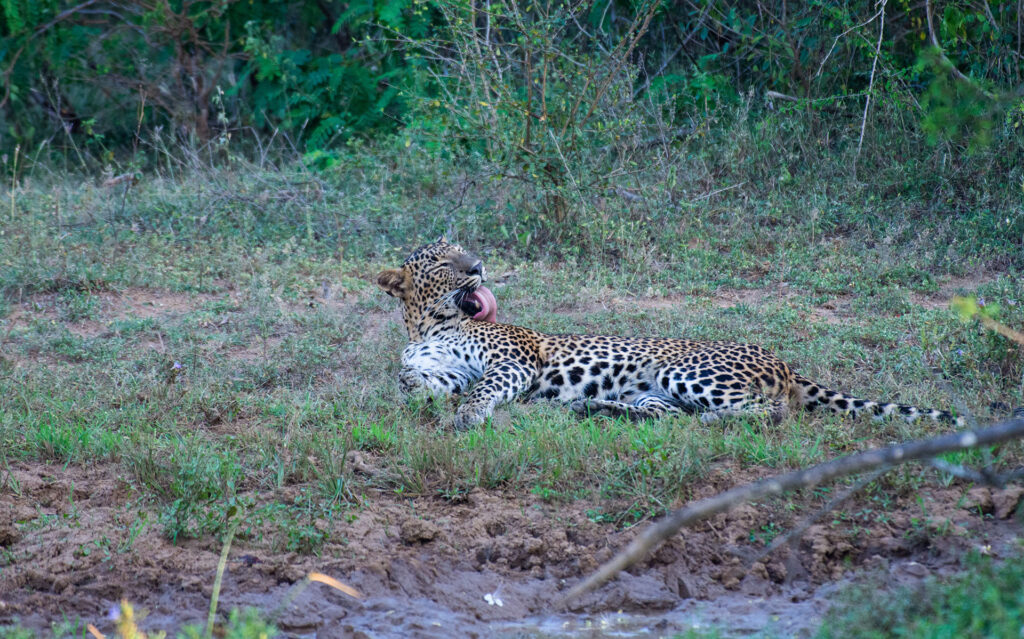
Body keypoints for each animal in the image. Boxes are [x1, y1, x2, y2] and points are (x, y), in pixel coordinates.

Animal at [372, 238, 962, 430]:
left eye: (462, 253)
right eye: (444, 263)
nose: (479, 267)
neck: (431, 324)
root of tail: (786, 362)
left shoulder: (514, 361)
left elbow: (484, 387)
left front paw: (469, 416)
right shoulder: (439, 367)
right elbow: (409, 378)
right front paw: (416, 392)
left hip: (686, 370)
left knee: (766, 412)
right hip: (659, 390)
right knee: (666, 414)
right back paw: (596, 408)